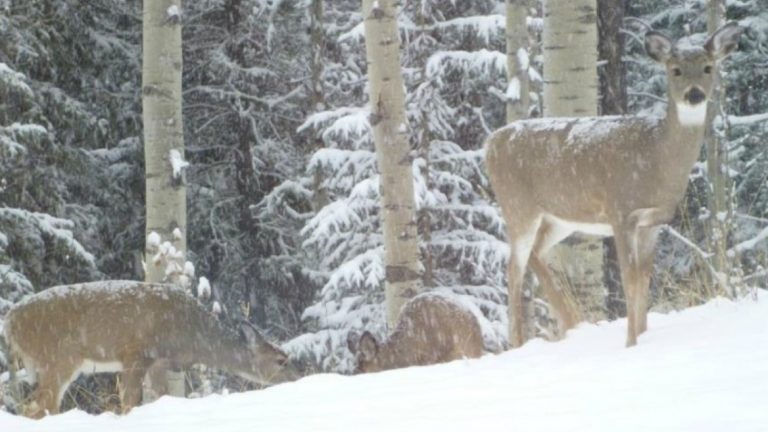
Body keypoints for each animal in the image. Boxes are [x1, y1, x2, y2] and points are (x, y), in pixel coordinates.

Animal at [3, 280, 299, 418]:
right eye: (281, 360)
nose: (298, 378)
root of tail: (9, 321)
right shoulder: (135, 353)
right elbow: (129, 402)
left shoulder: (159, 362)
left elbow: (159, 397)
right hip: (57, 358)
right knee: (39, 406)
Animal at [485, 23, 744, 348]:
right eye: (675, 70)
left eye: (708, 67)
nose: (694, 94)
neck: (656, 158)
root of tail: (490, 143)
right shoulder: (621, 212)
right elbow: (628, 279)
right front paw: (630, 343)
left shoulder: (653, 222)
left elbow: (644, 278)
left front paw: (642, 336)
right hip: (518, 206)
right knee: (513, 269)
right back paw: (518, 343)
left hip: (560, 218)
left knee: (534, 254)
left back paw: (567, 320)